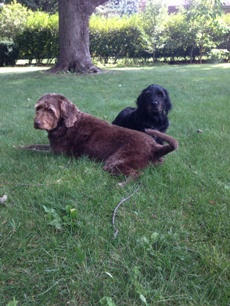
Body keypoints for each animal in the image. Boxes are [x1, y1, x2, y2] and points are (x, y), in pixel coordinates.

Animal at [33, 93, 178, 184]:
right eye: (38, 108)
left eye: (50, 110)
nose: (36, 123)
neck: (65, 124)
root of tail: (155, 148)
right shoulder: (51, 147)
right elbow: (32, 146)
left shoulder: (56, 153)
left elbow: (33, 150)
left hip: (115, 162)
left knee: (137, 174)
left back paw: (121, 185)